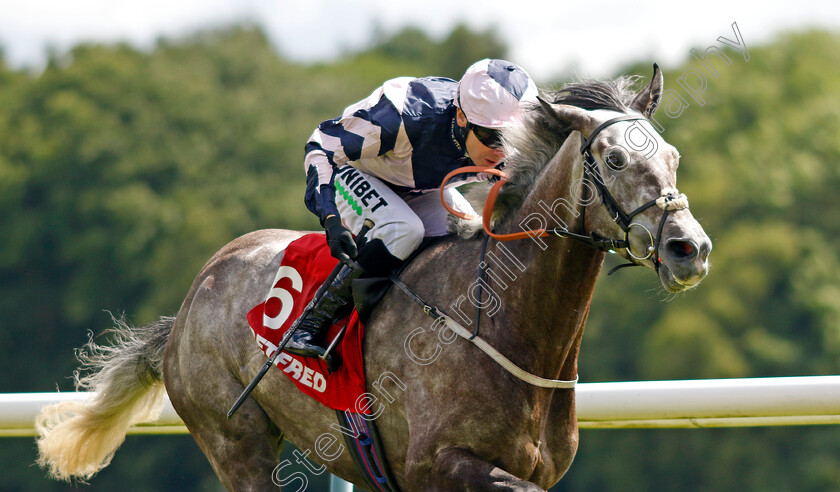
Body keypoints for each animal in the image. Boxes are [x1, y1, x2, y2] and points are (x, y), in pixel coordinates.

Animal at [37, 66, 708, 492]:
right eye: (615, 160)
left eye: (673, 157)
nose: (690, 249)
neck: (502, 323)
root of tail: (192, 298)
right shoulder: (439, 466)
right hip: (235, 444)